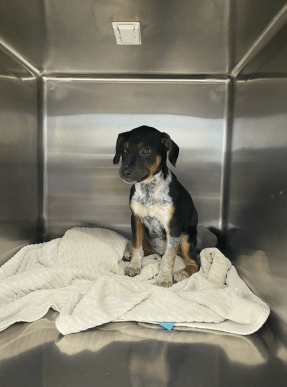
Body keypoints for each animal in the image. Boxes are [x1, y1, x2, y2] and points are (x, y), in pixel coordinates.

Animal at [113, 126, 199, 288]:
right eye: (124, 149)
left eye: (146, 150)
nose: (124, 172)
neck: (149, 189)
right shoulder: (136, 219)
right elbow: (137, 247)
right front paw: (134, 266)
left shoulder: (173, 225)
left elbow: (168, 257)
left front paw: (164, 278)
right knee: (147, 250)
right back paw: (131, 254)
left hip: (185, 239)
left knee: (195, 262)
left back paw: (183, 272)